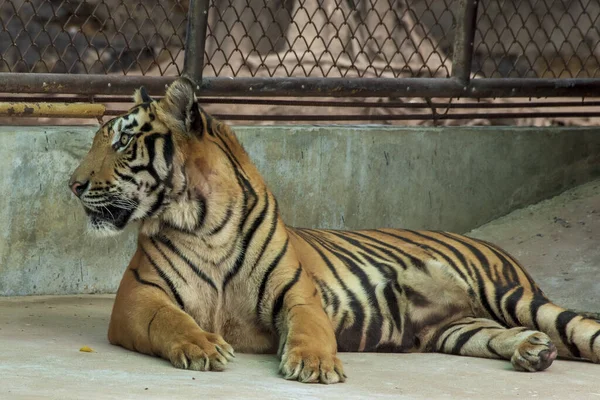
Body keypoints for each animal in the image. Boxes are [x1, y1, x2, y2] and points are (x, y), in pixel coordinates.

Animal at [68, 78, 600, 384]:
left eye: (121, 142)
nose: (72, 185)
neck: (202, 222)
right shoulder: (139, 297)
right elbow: (171, 321)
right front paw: (201, 345)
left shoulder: (297, 294)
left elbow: (309, 327)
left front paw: (315, 364)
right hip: (455, 329)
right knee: (498, 336)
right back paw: (532, 351)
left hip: (510, 295)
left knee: (577, 328)